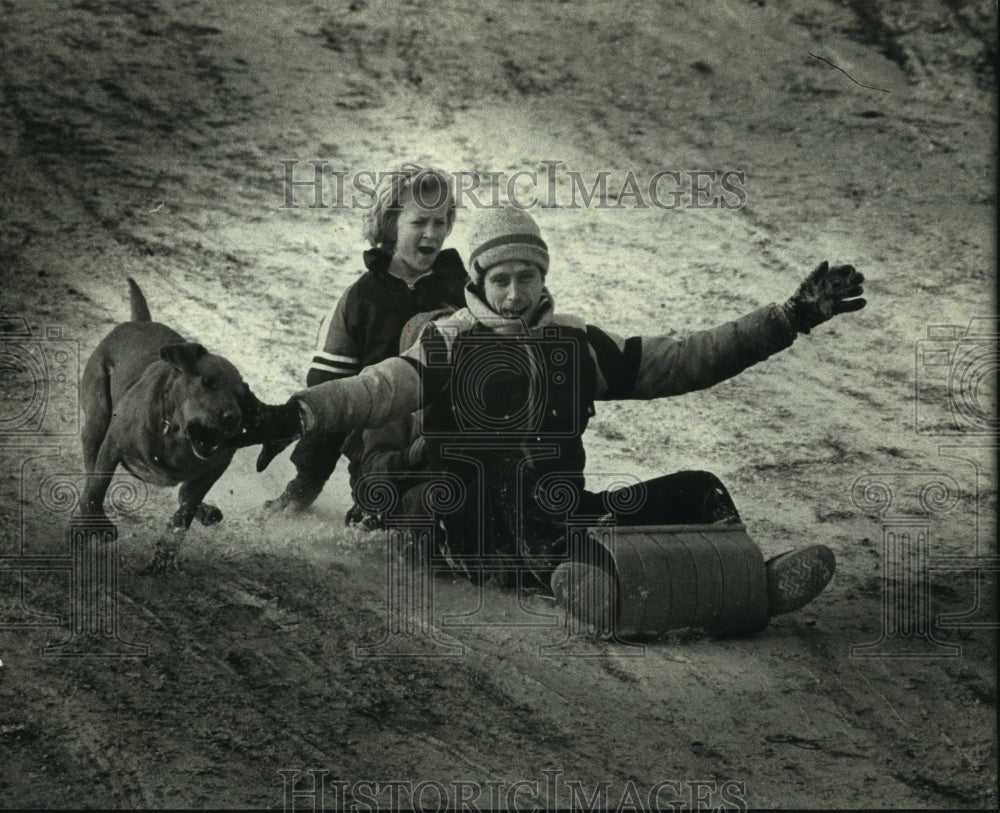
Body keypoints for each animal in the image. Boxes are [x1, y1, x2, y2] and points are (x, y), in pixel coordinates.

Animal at [81, 280, 260, 572]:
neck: (175, 433)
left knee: (185, 495)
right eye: (208, 381)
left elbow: (185, 510)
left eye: (240, 396)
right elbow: (97, 487)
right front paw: (89, 526)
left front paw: (165, 555)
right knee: (90, 467)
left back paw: (206, 511)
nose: (233, 418)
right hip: (97, 418)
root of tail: (140, 321)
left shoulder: (216, 465)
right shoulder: (113, 445)